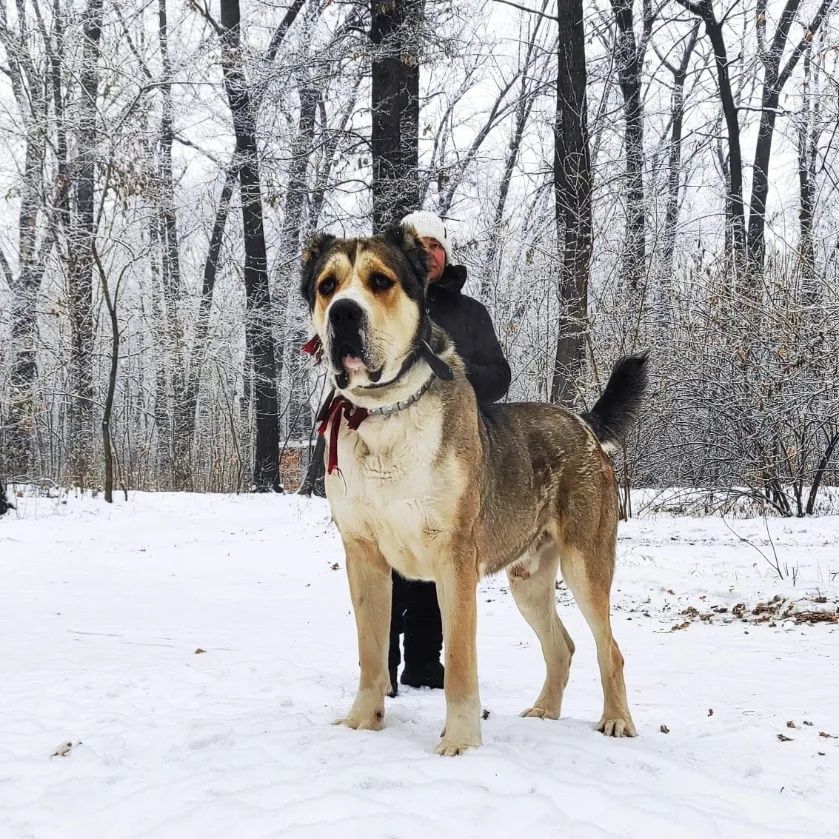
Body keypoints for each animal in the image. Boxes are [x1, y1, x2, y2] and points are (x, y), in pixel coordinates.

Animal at [302, 228, 648, 756]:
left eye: (380, 281)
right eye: (327, 286)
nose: (343, 313)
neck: (384, 413)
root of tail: (582, 421)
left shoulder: (454, 556)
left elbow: (462, 661)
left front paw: (461, 740)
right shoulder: (363, 554)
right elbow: (371, 652)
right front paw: (362, 722)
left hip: (586, 563)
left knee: (609, 648)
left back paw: (616, 720)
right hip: (528, 579)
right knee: (563, 645)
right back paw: (545, 711)